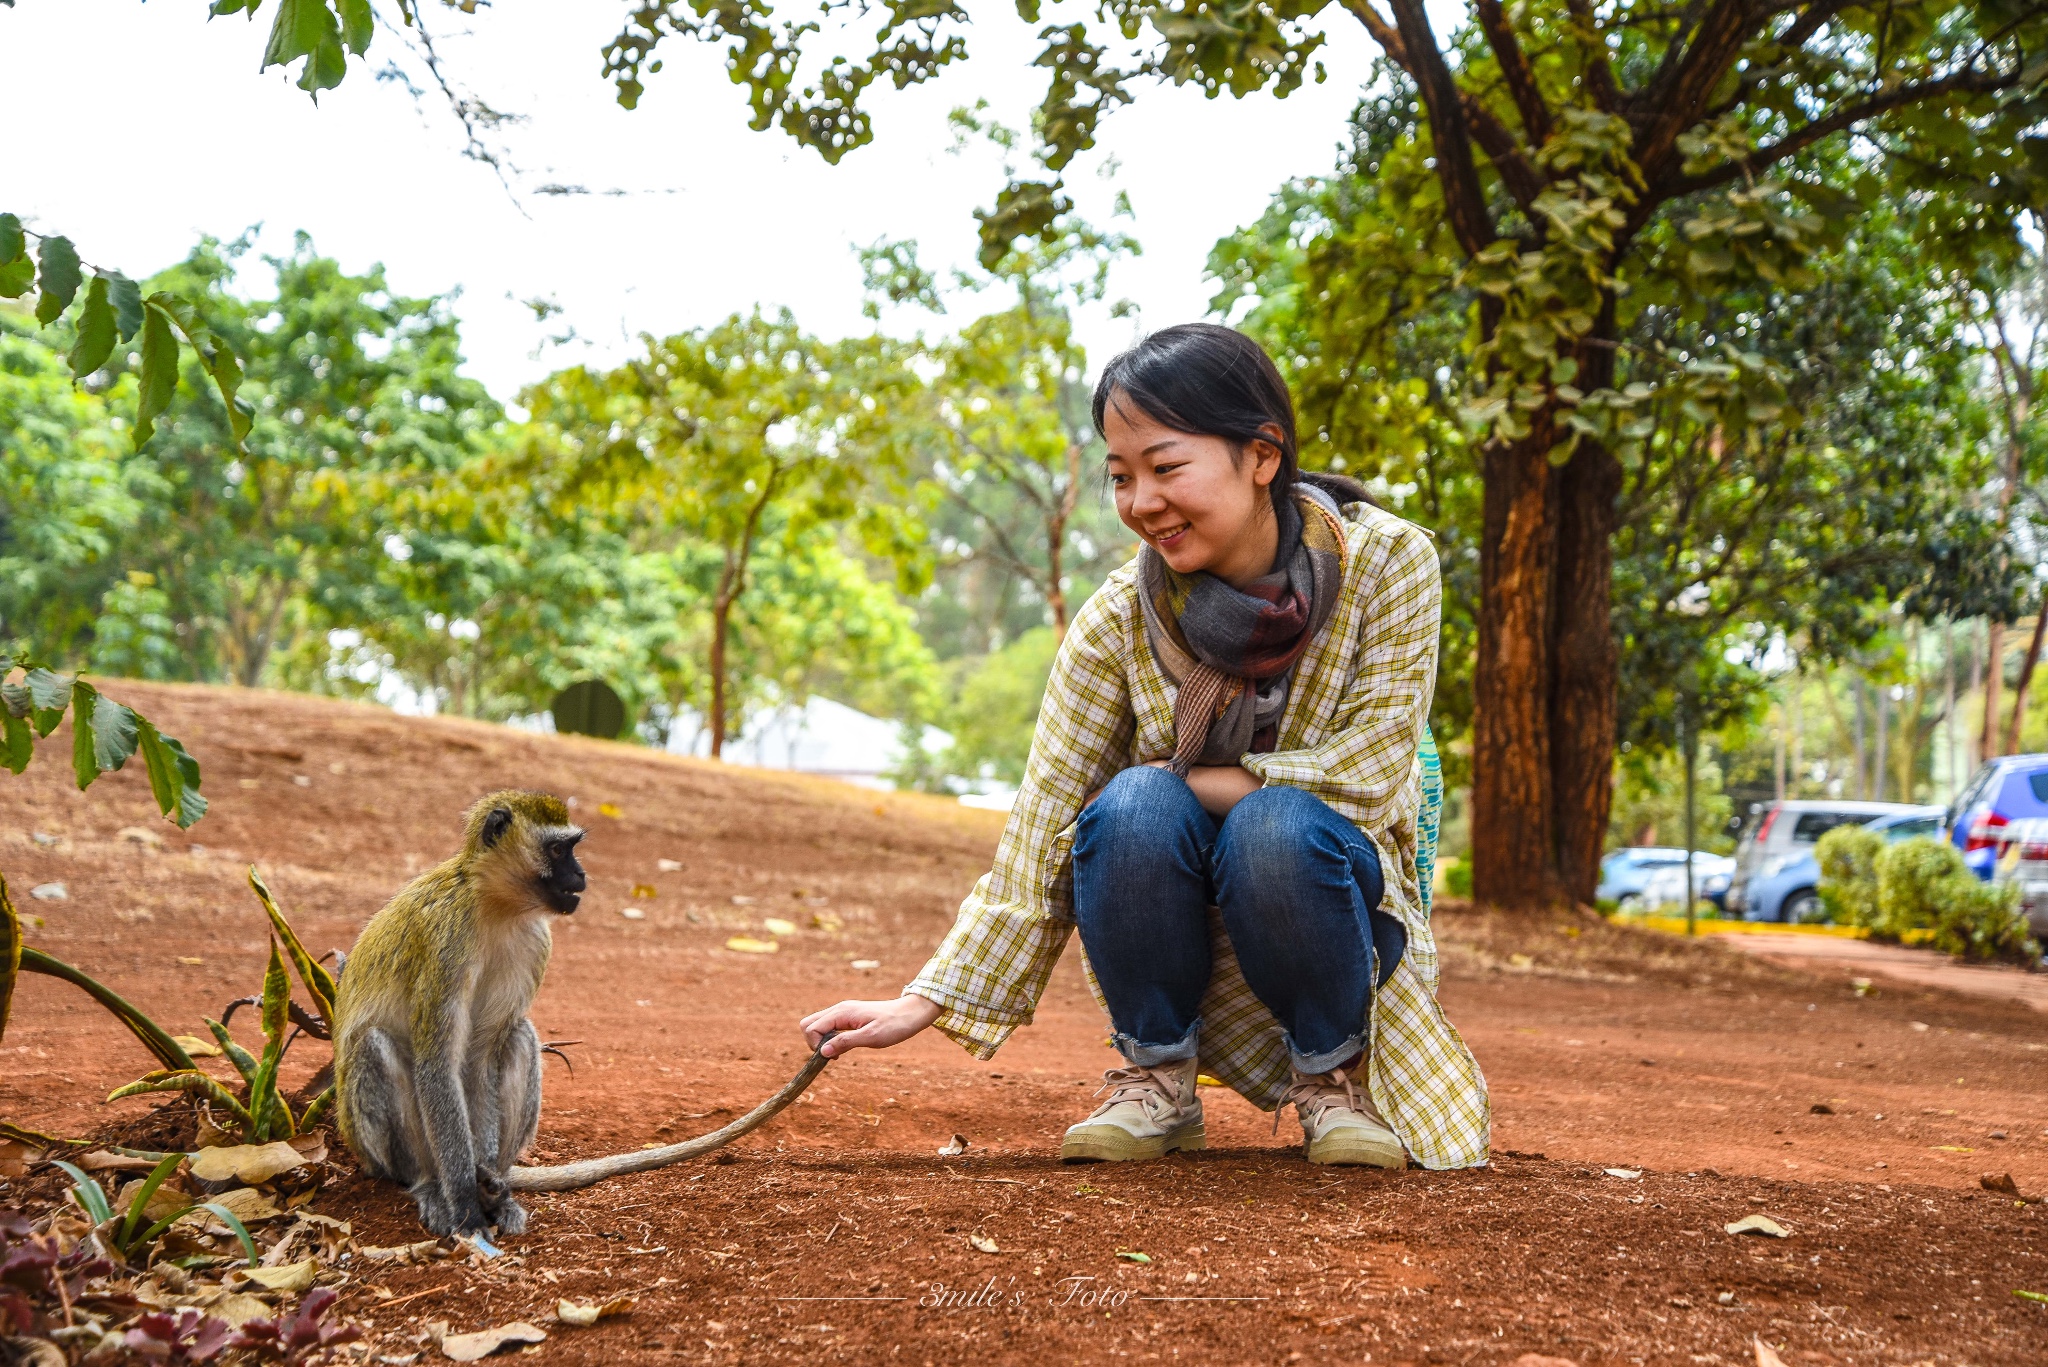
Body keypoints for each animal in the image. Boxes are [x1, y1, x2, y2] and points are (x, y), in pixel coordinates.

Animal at [329, 786, 581, 1237]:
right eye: (557, 849)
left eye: (571, 848)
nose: (582, 876)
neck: (494, 906)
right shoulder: (446, 941)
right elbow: (437, 1064)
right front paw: (465, 1204)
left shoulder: (536, 943)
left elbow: (479, 1060)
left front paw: (486, 1192)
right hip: (370, 1148)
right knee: (374, 1044)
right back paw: (430, 1185)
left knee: (518, 1034)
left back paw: (498, 1190)